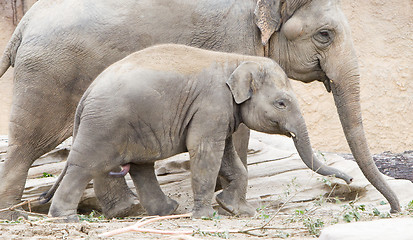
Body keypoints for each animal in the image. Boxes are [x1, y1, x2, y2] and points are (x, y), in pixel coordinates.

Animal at [48, 43, 350, 221]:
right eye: (281, 104)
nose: (348, 180)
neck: (237, 60)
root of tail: (86, 94)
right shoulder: (212, 104)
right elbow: (206, 151)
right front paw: (205, 216)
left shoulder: (220, 113)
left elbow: (228, 156)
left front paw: (237, 210)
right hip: (105, 123)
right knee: (86, 165)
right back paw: (65, 218)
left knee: (139, 166)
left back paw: (162, 210)